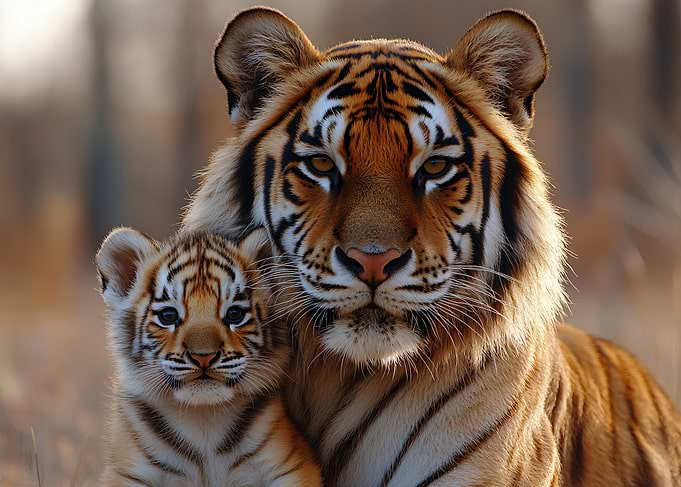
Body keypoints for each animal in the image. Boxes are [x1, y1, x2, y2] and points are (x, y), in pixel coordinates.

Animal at [95, 228, 322, 486]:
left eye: (234, 314)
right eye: (168, 316)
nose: (204, 357)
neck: (203, 418)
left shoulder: (289, 466)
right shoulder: (129, 473)